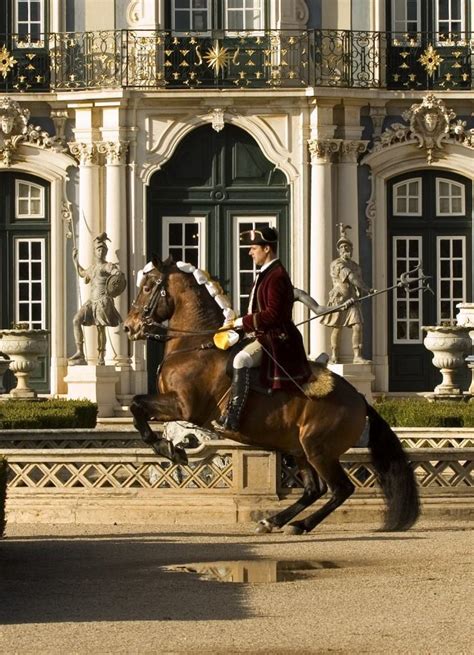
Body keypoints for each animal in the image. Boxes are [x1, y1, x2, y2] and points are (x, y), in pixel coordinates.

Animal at [125, 254, 418, 536]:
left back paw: (300, 524)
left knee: (340, 489)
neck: (198, 344)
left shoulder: (185, 407)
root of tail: (359, 398)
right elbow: (137, 408)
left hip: (318, 449)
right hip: (299, 448)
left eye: (148, 287)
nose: (129, 326)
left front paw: (169, 449)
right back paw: (275, 520)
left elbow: (137, 405)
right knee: (314, 489)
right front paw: (167, 447)